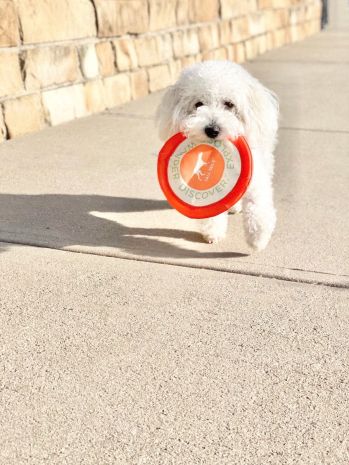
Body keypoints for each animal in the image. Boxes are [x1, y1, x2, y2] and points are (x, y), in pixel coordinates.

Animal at [155, 62, 278, 252]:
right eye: (198, 104)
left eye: (229, 104)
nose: (212, 130)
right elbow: (211, 212)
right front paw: (213, 232)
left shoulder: (255, 179)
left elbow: (257, 205)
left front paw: (258, 238)